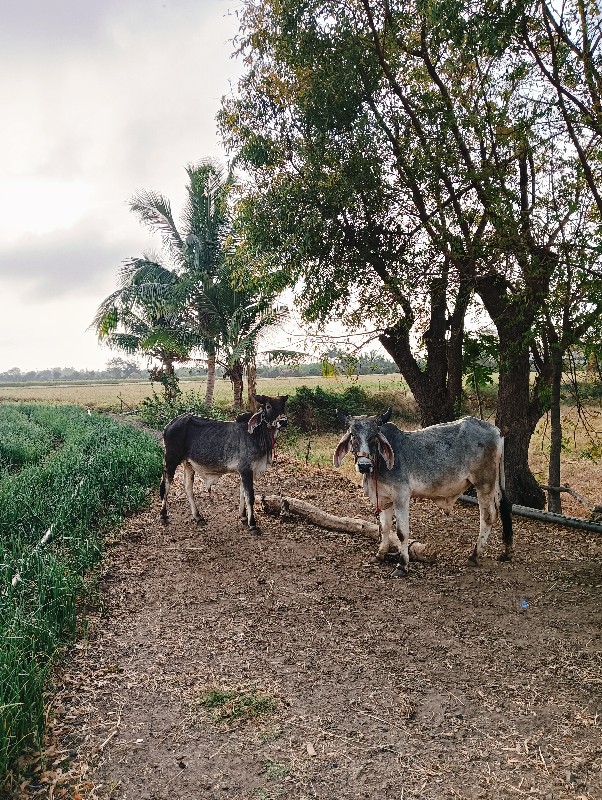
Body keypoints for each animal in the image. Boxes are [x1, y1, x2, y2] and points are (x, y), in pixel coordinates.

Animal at [159, 392, 286, 532]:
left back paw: (198, 517)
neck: (257, 434)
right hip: (171, 460)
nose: (283, 421)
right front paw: (252, 524)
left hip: (188, 464)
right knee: (166, 485)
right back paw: (163, 515)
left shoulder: (245, 472)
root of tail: (169, 425)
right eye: (268, 406)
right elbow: (249, 496)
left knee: (188, 487)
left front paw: (243, 517)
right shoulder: (246, 470)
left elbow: (242, 493)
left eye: (283, 406)